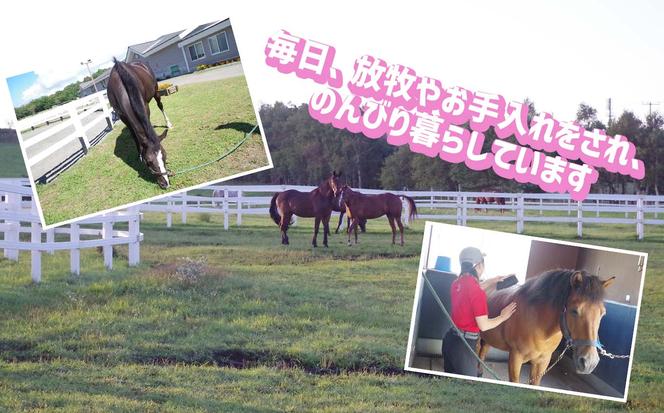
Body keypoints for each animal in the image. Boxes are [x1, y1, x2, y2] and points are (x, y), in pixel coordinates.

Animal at [107, 58, 174, 188]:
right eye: (149, 161)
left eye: (165, 156)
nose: (165, 183)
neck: (122, 85)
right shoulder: (122, 116)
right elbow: (134, 133)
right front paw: (139, 153)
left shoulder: (144, 106)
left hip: (156, 91)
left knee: (160, 105)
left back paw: (168, 123)